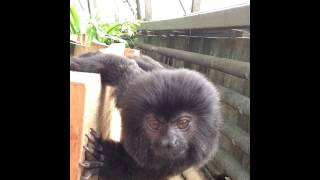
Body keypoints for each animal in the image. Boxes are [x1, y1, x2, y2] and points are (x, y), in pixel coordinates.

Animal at [70, 52, 222, 180]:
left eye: (183, 123)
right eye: (154, 124)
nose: (169, 141)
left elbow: (139, 172)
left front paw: (101, 158)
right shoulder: (130, 91)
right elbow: (115, 64)